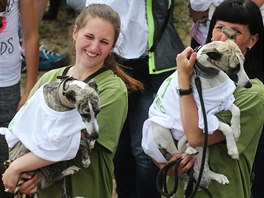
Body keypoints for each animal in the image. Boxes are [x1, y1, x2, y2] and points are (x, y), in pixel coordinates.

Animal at [142, 31, 252, 187]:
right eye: (234, 67)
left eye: (243, 63)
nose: (249, 85)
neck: (208, 74)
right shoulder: (203, 116)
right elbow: (225, 127)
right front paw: (232, 148)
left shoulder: (220, 102)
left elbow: (236, 110)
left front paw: (237, 130)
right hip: (160, 130)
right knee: (178, 154)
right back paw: (188, 150)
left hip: (204, 148)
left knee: (201, 168)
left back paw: (215, 175)